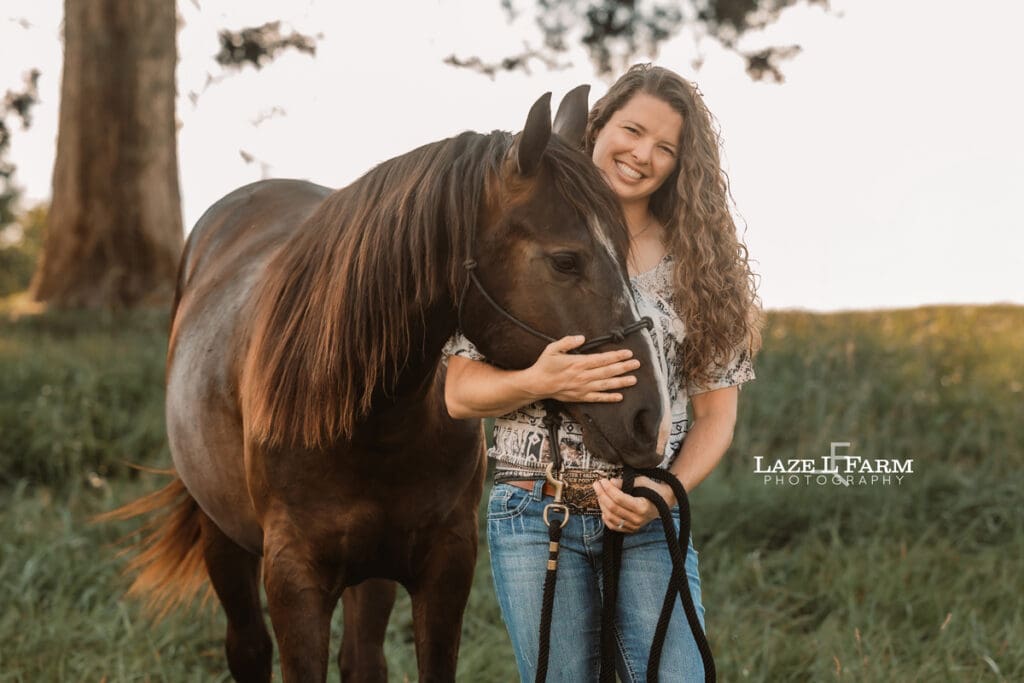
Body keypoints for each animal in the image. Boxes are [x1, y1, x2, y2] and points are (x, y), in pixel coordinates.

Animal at [107, 87, 670, 683]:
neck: (370, 420)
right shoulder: (293, 580)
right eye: (565, 260)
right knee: (248, 649)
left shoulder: (446, 567)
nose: (648, 420)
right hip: (223, 539)